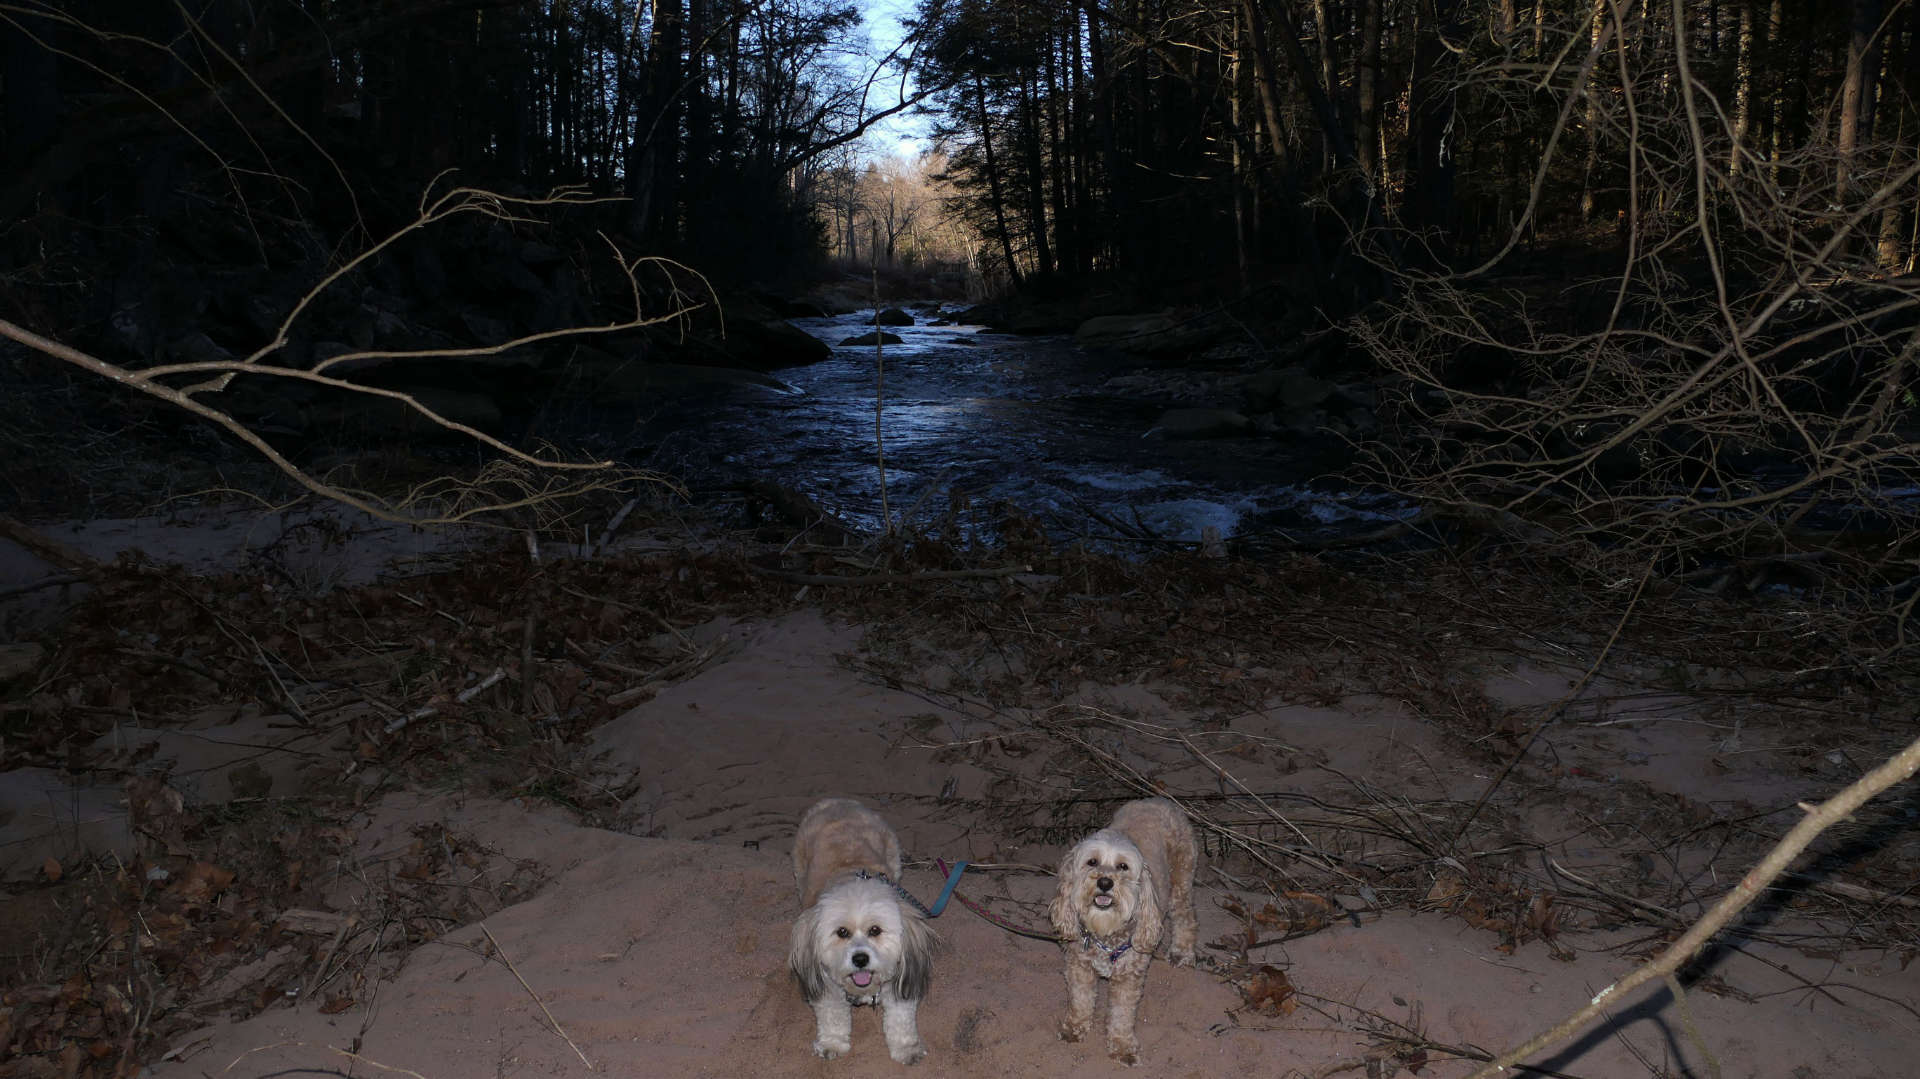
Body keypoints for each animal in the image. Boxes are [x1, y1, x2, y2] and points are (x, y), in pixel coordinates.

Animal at [787, 798, 936, 1059]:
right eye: (842, 932)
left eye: (875, 930)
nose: (860, 959)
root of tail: (838, 801)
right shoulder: (828, 984)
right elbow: (832, 1015)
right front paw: (833, 1043)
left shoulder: (899, 978)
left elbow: (901, 1018)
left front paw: (906, 1048)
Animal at [1052, 794, 1198, 1059]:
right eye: (1092, 862)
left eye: (1123, 866)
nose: (1105, 882)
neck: (1105, 933)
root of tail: (1159, 799)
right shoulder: (1079, 966)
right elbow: (1080, 999)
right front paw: (1074, 1028)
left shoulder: (1128, 977)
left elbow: (1122, 1013)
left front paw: (1121, 1045)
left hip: (1181, 881)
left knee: (1185, 917)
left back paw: (1181, 951)